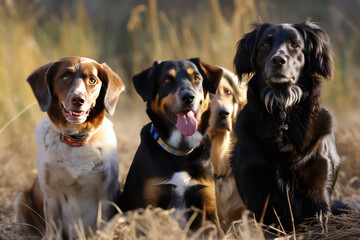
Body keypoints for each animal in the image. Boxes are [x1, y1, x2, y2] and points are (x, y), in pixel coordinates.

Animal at [14, 57, 124, 239]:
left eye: (92, 80)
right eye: (65, 77)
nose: (78, 99)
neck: (76, 140)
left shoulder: (106, 194)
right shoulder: (52, 196)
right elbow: (53, 229)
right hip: (21, 198)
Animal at [121, 58, 222, 234]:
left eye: (196, 78)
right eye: (166, 81)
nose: (188, 97)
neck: (180, 153)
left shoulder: (208, 208)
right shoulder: (148, 205)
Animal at [232, 21, 342, 230]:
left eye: (295, 45)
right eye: (265, 44)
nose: (278, 60)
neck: (282, 109)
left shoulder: (319, 191)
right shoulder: (258, 195)